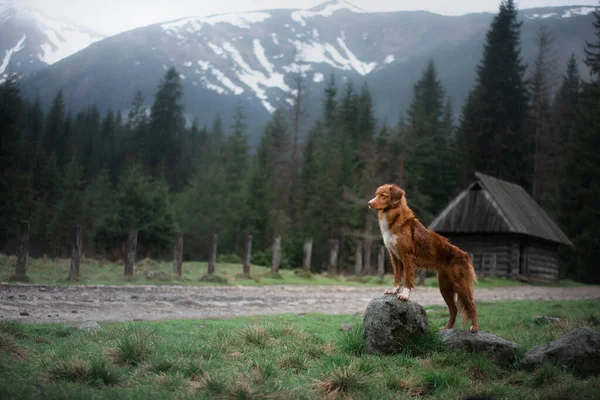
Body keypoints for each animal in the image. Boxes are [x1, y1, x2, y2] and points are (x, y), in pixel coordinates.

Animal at [366, 184, 478, 332]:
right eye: (376, 194)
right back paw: (447, 327)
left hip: (461, 285)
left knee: (472, 306)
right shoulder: (394, 256)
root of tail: (465, 255)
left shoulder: (407, 256)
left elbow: (407, 279)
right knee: (453, 309)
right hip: (444, 288)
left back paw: (475, 327)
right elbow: (397, 276)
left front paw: (405, 295)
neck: (395, 218)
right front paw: (394, 290)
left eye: (383, 195)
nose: (369, 203)